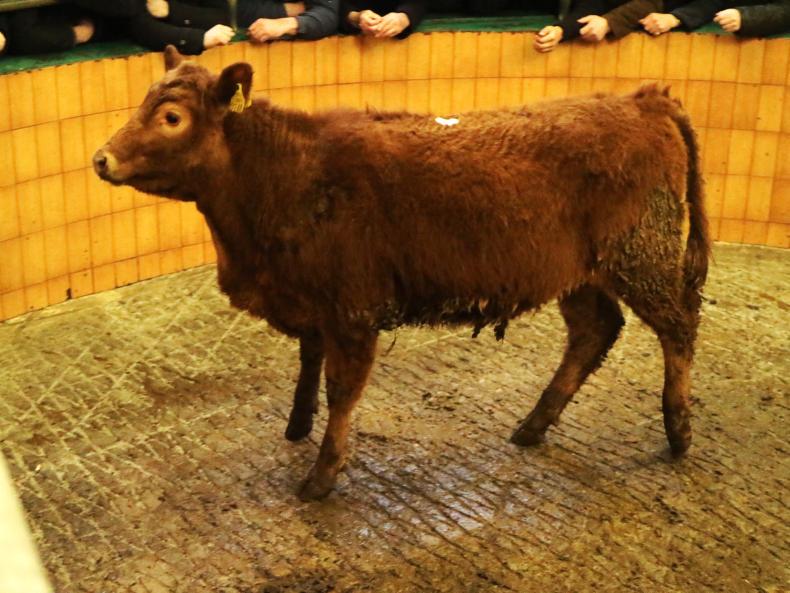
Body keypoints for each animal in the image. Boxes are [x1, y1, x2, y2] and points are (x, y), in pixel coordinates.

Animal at [93, 45, 710, 501]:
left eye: (172, 117)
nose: (102, 158)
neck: (290, 176)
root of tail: (643, 100)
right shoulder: (312, 301)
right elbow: (308, 362)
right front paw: (297, 425)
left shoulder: (352, 310)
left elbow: (342, 389)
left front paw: (322, 474)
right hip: (579, 273)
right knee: (594, 331)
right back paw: (534, 425)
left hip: (642, 257)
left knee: (678, 327)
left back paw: (678, 430)